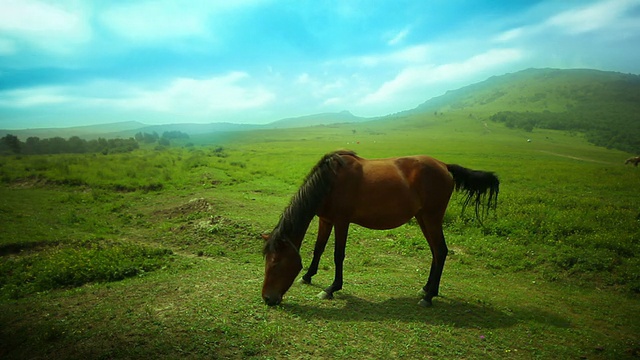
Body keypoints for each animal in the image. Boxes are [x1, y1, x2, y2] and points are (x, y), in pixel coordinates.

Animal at [262, 149, 500, 306]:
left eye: (276, 264)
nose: (267, 298)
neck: (330, 182)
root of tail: (445, 166)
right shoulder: (326, 220)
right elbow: (319, 249)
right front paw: (308, 276)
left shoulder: (341, 221)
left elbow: (338, 255)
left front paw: (332, 288)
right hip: (423, 218)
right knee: (436, 252)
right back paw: (427, 289)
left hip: (432, 218)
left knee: (441, 251)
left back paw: (428, 297)